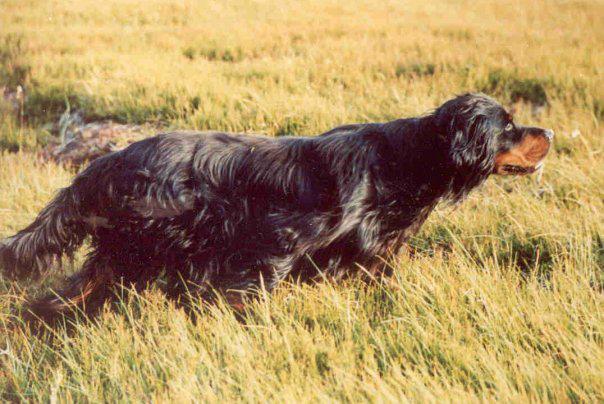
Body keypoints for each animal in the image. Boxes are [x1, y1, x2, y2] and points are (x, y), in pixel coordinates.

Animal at [0, 93, 553, 322]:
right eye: (507, 126)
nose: (547, 132)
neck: (403, 161)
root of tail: (107, 161)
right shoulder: (280, 237)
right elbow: (253, 288)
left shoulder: (369, 254)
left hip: (126, 252)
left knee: (67, 294)